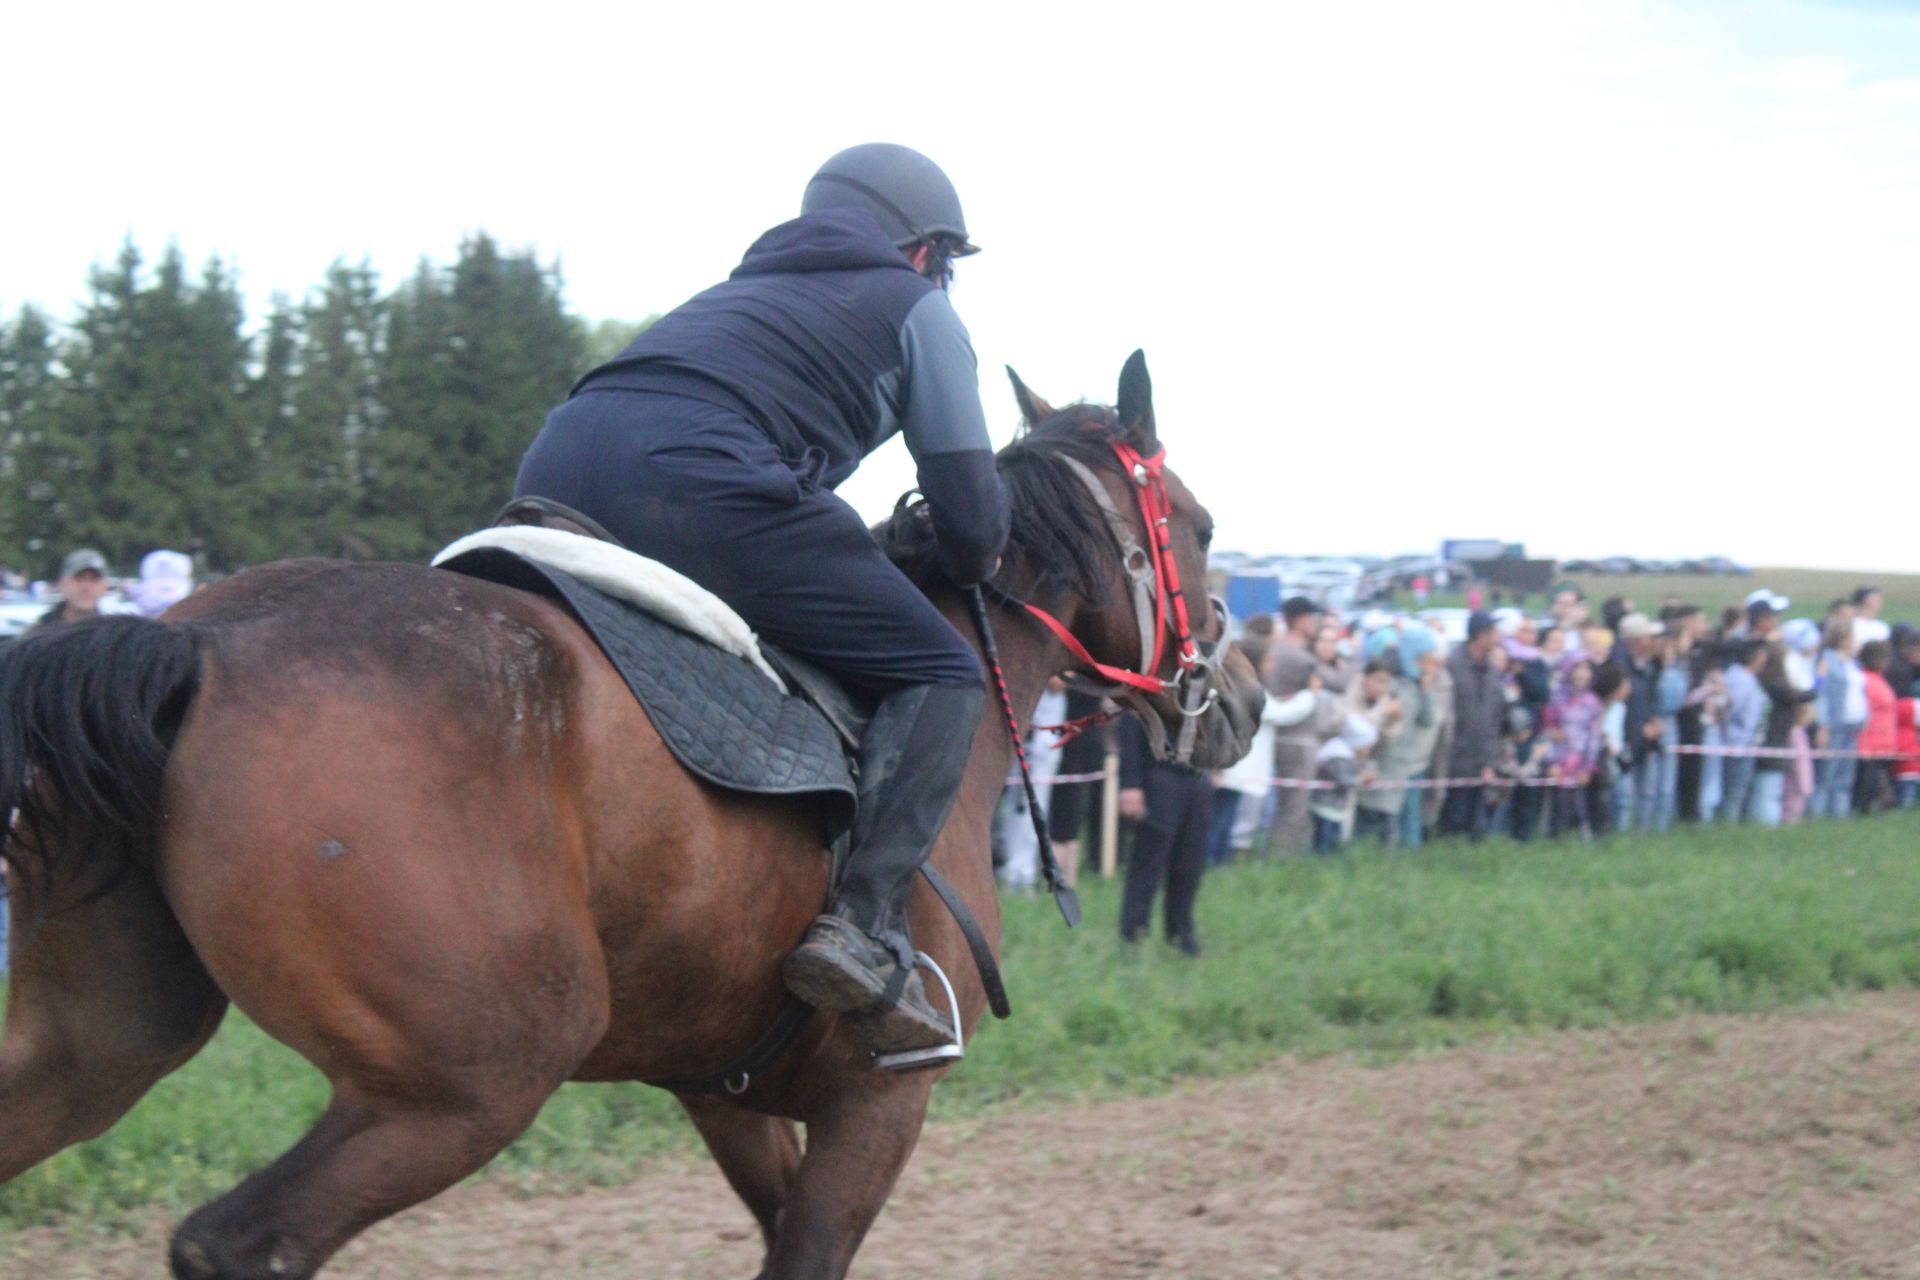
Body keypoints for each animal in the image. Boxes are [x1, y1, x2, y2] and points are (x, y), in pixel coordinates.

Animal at [0, 351, 1259, 1280]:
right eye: (1198, 526)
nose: (1240, 698)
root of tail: (196, 640)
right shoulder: (878, 1101)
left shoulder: (728, 1092)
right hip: (468, 1078)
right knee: (238, 1244)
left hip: (99, 1038)